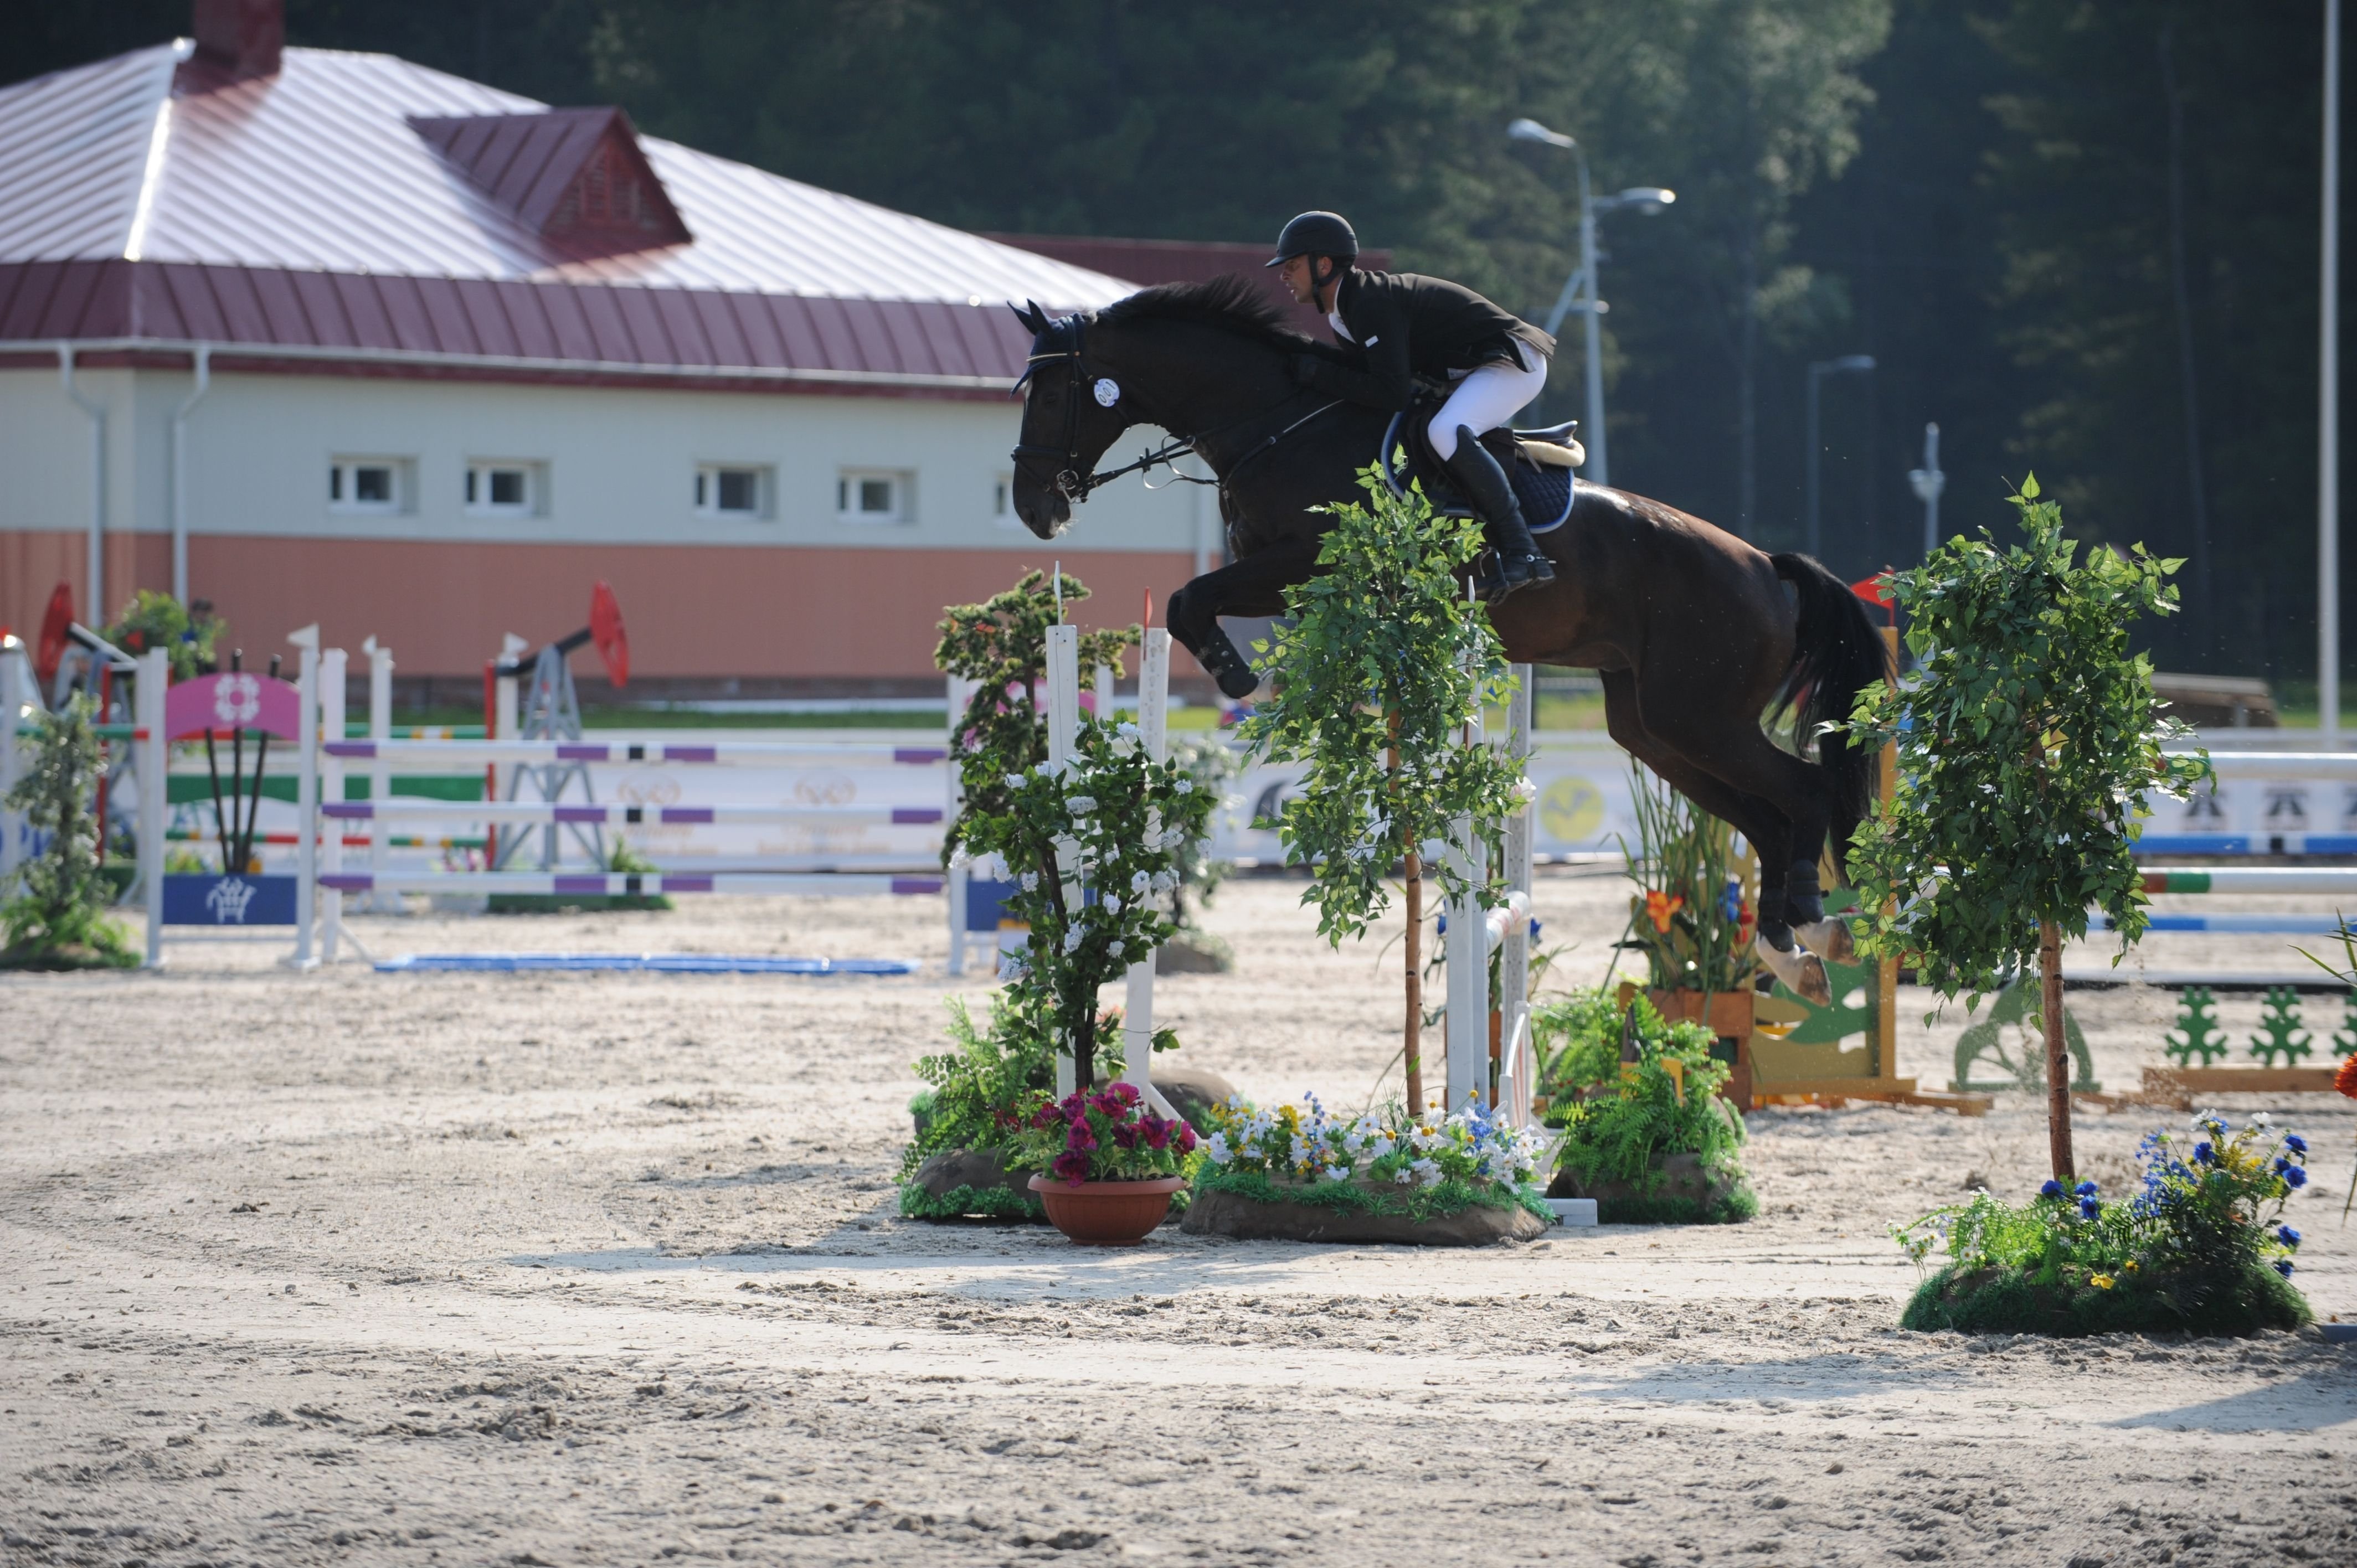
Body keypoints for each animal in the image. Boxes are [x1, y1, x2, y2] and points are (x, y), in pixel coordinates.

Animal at [1004, 275, 1885, 995]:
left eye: (1048, 396)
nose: (1033, 510)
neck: (1277, 421)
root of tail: (1765, 567)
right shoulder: (1281, 576)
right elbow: (1197, 605)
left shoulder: (1298, 561)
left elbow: (1190, 602)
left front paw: (1234, 677)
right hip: (1654, 726)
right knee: (1764, 818)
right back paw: (1789, 951)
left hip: (1699, 715)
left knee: (1802, 794)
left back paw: (1815, 926)